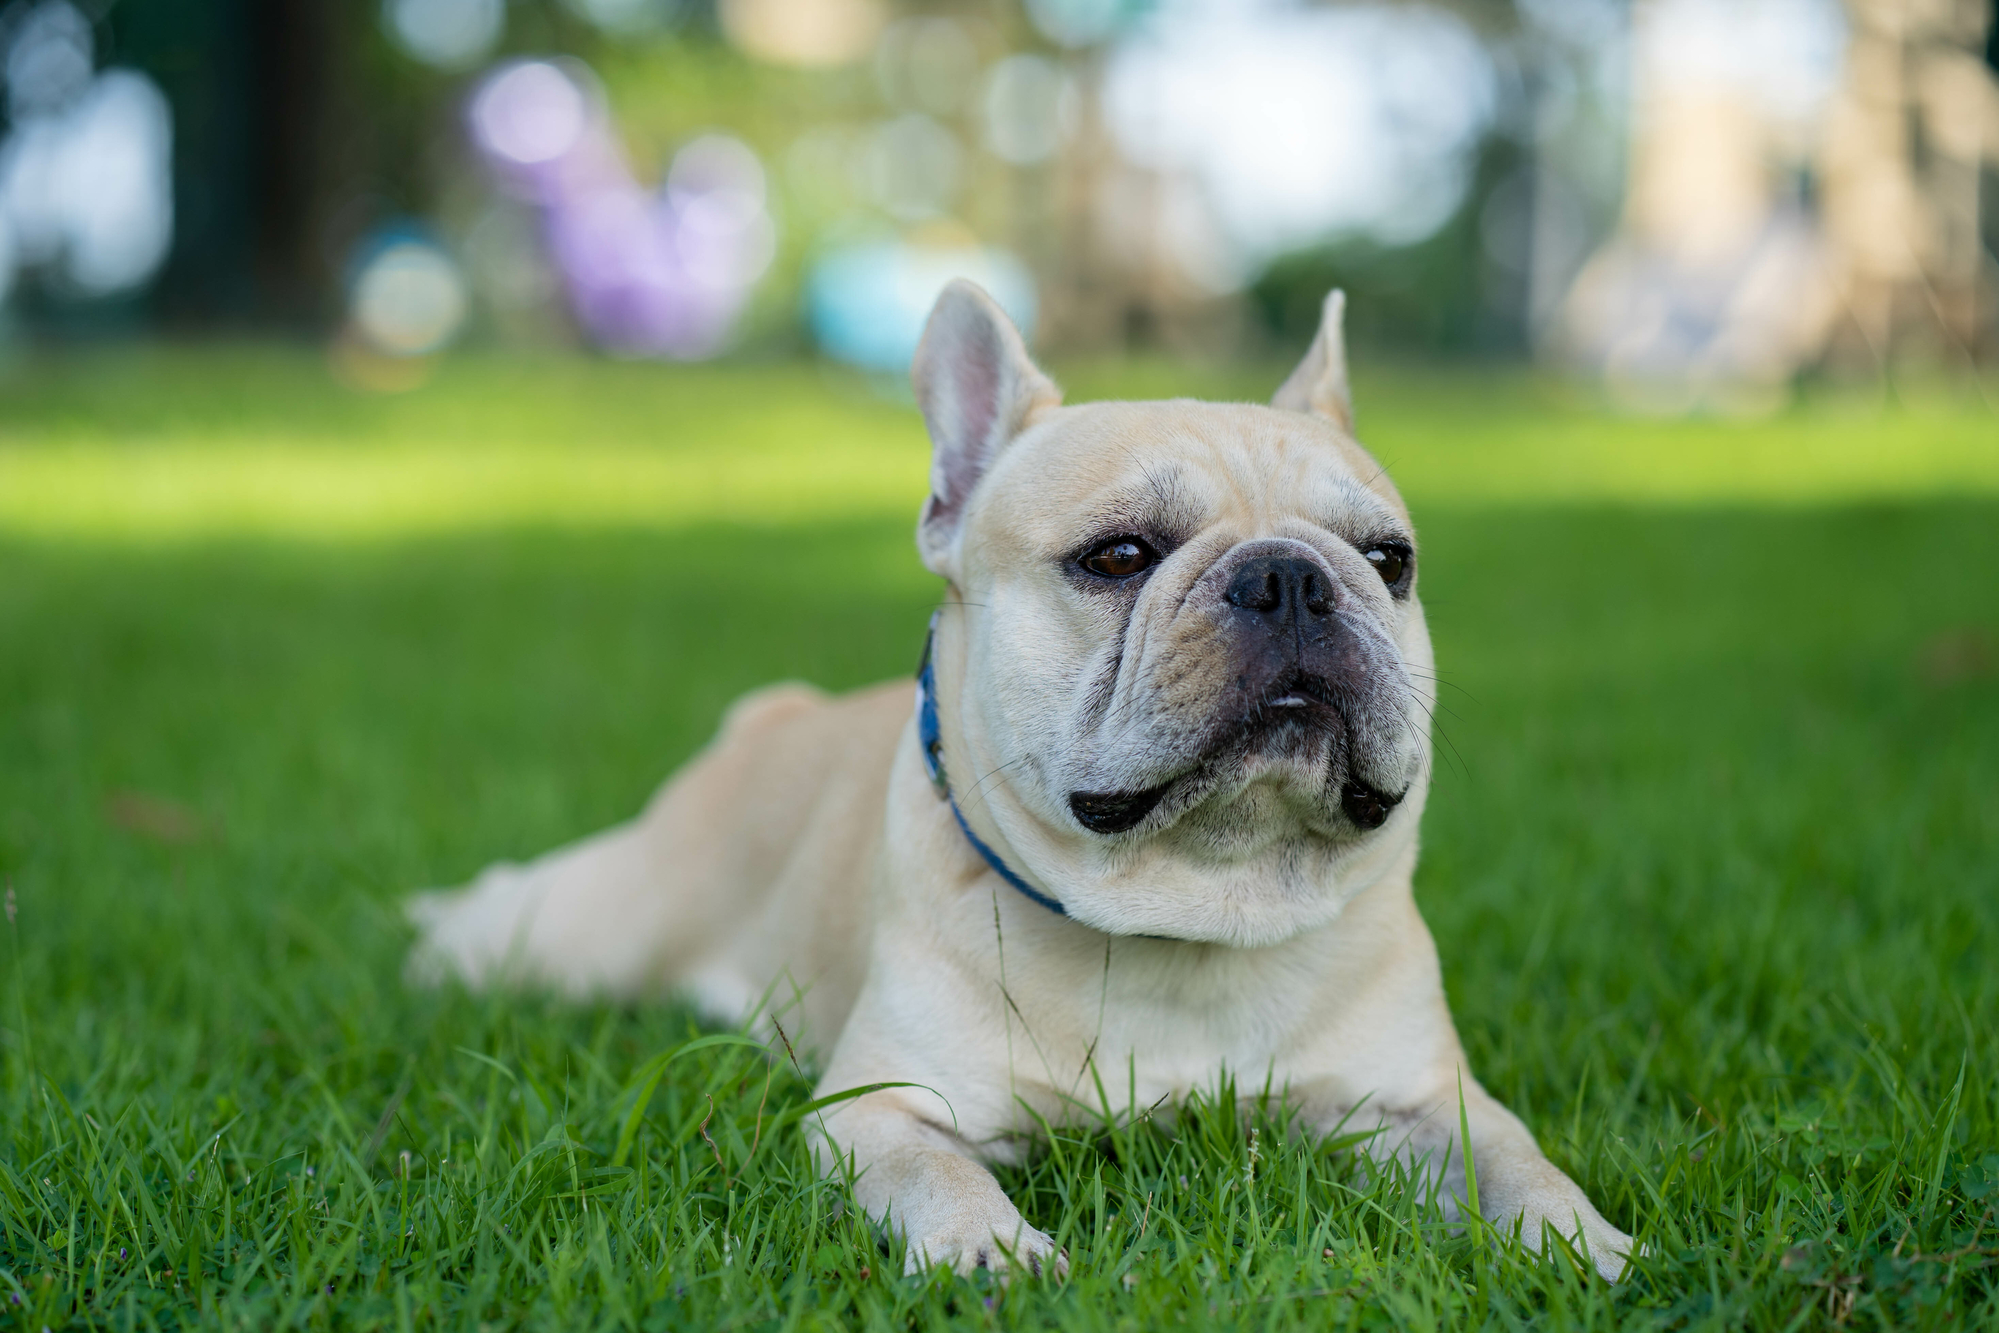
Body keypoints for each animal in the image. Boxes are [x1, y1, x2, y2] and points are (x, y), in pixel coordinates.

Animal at [409, 281, 1639, 1279]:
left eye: (1390, 561)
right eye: (1118, 556)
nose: (1290, 576)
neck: (1195, 904)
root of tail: (772, 716)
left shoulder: (1424, 1102)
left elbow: (1517, 1163)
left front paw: (1584, 1244)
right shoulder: (881, 1112)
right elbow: (938, 1174)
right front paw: (990, 1254)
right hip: (584, 931)